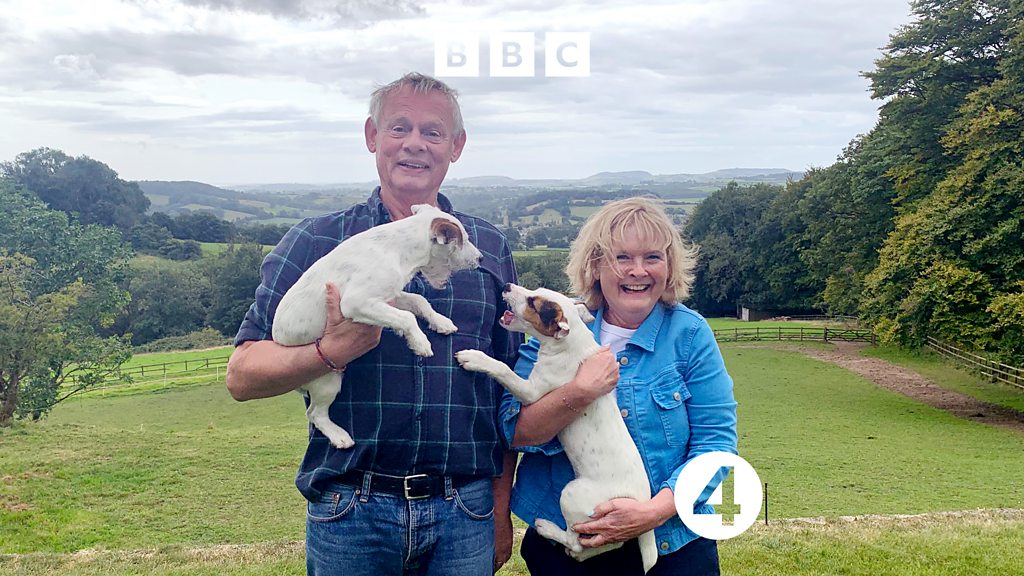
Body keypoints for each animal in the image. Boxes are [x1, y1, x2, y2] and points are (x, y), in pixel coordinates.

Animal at [272, 203, 482, 449]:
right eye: (463, 240)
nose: (481, 258)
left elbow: (419, 301)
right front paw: (420, 342)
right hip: (327, 379)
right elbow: (407, 317)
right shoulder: (357, 301)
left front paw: (439, 321)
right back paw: (339, 436)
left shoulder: (390, 295)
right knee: (315, 413)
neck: (397, 248)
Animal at [455, 283, 657, 573]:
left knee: (576, 542)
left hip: (572, 494)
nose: (505, 286)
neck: (571, 344)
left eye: (533, 302)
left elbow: (503, 369)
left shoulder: (532, 391)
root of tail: (640, 510)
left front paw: (476, 358)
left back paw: (547, 527)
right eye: (535, 291)